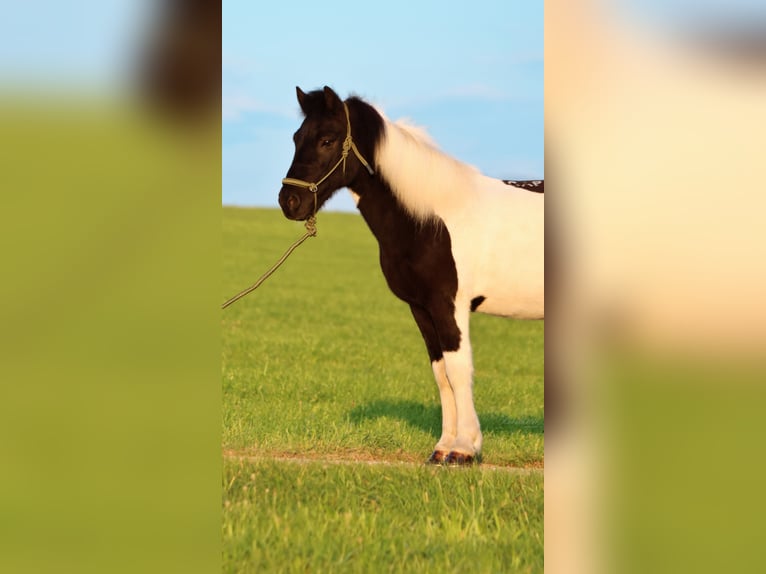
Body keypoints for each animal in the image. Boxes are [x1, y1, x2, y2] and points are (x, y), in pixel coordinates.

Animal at [280, 86, 544, 468]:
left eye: (327, 140)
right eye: (297, 137)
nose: (289, 201)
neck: (431, 219)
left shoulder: (449, 305)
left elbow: (459, 370)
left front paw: (464, 449)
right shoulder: (421, 308)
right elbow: (441, 374)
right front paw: (442, 448)